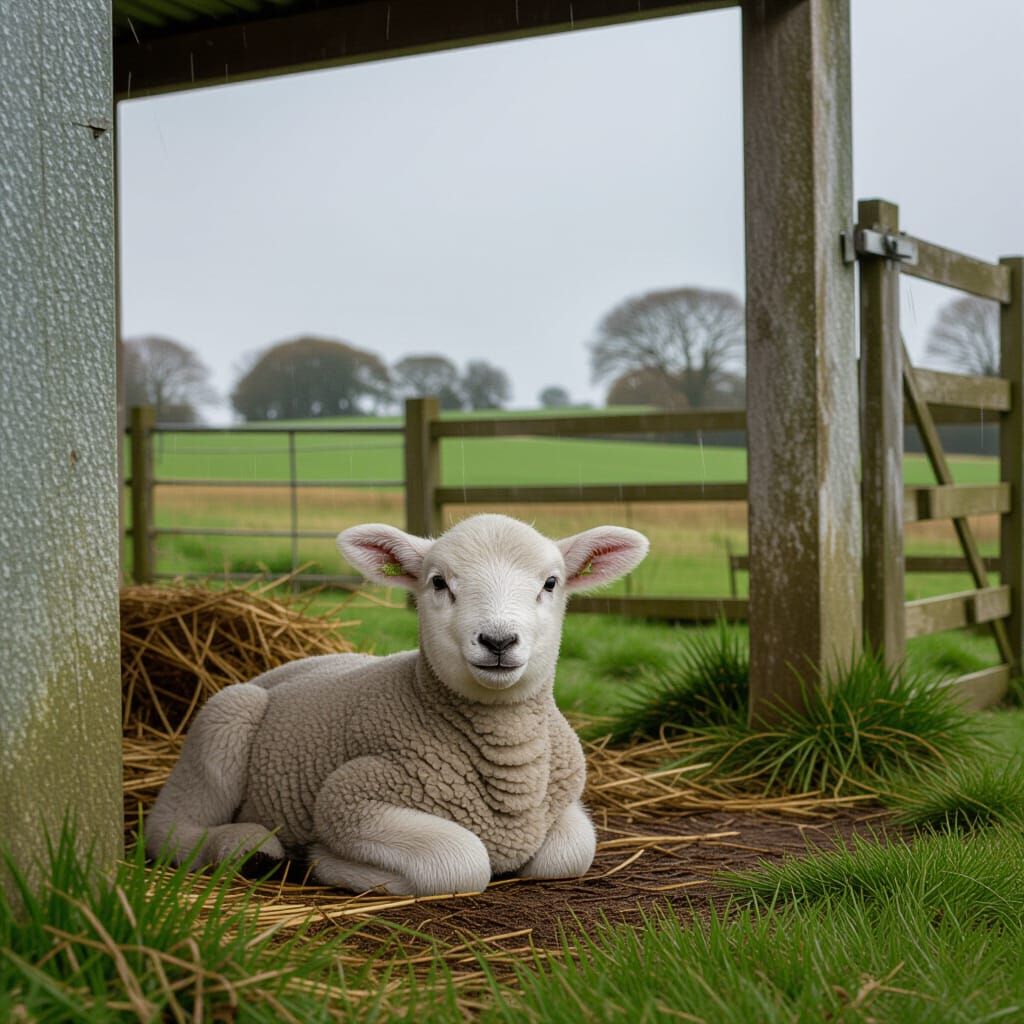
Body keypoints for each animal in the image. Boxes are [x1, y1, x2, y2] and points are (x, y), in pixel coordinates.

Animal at [146, 513, 649, 896]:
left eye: (551, 583)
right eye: (439, 582)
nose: (498, 641)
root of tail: (287, 667)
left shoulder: (563, 802)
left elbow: (572, 853)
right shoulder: (349, 795)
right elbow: (461, 861)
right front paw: (331, 863)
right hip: (224, 718)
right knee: (168, 828)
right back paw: (247, 849)